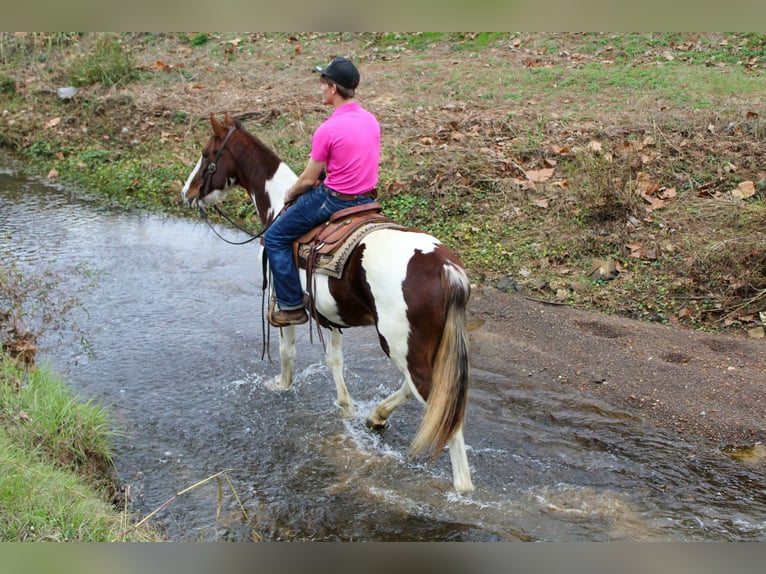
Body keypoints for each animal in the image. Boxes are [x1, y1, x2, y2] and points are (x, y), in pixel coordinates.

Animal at [181, 112, 474, 492]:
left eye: (206, 153)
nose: (186, 193)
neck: (279, 206)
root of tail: (445, 268)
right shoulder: (329, 315)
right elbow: (335, 361)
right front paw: (345, 406)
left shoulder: (282, 302)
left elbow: (287, 353)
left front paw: (280, 386)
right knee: (421, 391)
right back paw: (376, 416)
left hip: (400, 344)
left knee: (439, 409)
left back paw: (461, 486)